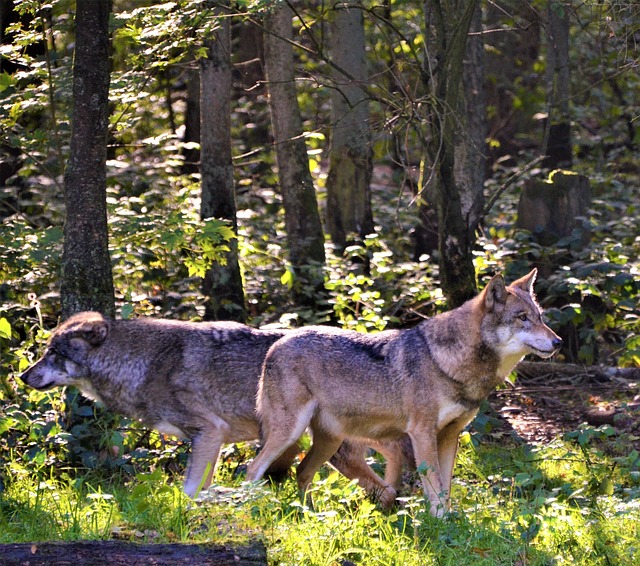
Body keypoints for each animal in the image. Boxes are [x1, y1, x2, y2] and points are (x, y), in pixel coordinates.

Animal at [20, 312, 404, 504]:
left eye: (54, 353)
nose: (23, 376)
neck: (143, 363)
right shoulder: (210, 442)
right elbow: (201, 489)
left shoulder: (209, 433)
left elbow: (189, 492)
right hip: (338, 451)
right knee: (385, 484)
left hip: (335, 450)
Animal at [248, 270, 564, 520]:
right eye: (522, 318)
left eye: (540, 318)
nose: (558, 342)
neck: (447, 363)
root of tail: (277, 343)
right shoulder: (422, 433)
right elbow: (434, 485)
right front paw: (440, 524)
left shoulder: (450, 436)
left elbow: (446, 486)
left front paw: (451, 521)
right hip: (291, 433)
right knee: (254, 470)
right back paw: (250, 509)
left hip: (329, 441)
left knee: (301, 472)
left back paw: (309, 515)